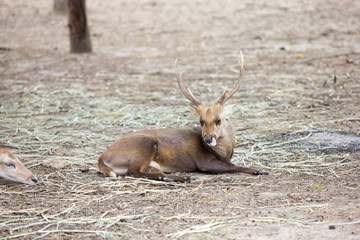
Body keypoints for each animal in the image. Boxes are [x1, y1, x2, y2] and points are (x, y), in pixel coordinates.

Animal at [97, 51, 268, 182]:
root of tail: (103, 157)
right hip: (143, 146)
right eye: (201, 121)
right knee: (133, 172)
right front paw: (259, 170)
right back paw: (185, 178)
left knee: (150, 171)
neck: (224, 153)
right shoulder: (203, 162)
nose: (208, 139)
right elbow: (232, 166)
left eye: (218, 120)